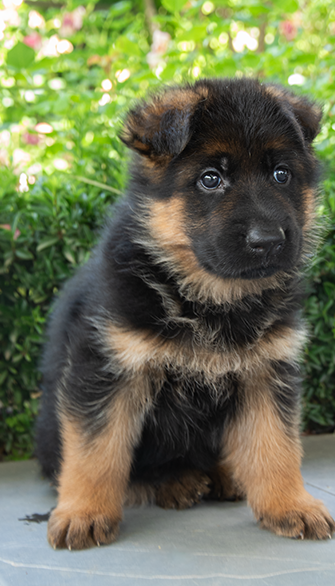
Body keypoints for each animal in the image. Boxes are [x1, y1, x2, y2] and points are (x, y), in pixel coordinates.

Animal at [36, 77, 335, 548]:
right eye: (211, 179)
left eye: (281, 174)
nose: (268, 240)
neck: (208, 297)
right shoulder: (107, 368)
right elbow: (95, 450)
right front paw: (83, 512)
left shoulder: (266, 370)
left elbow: (276, 445)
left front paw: (290, 505)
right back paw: (176, 482)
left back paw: (225, 475)